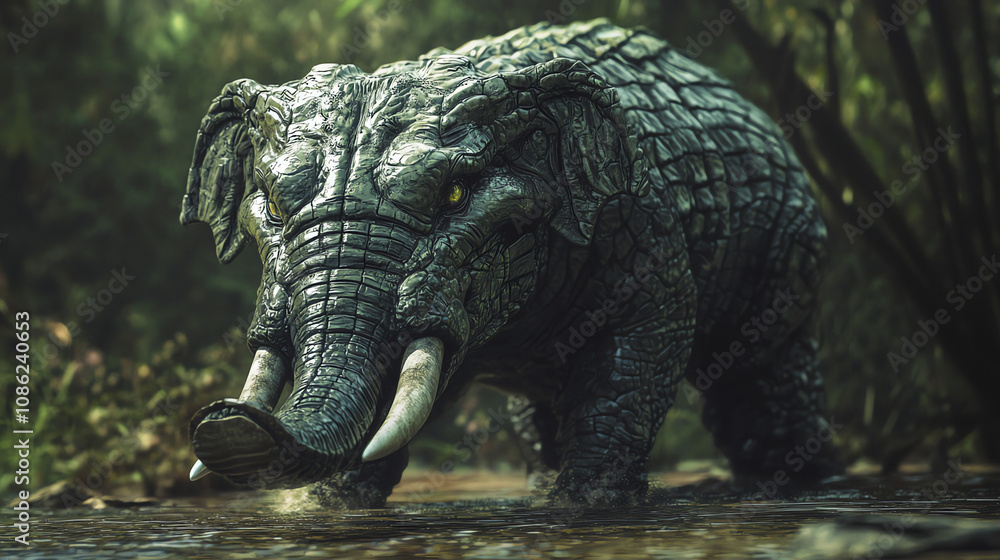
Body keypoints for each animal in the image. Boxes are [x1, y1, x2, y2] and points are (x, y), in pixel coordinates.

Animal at [181, 19, 842, 507]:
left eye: (455, 194)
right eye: (270, 203)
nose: (223, 420)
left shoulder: (641, 226)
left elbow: (636, 357)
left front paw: (590, 505)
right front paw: (326, 506)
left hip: (785, 264)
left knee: (761, 389)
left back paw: (801, 484)